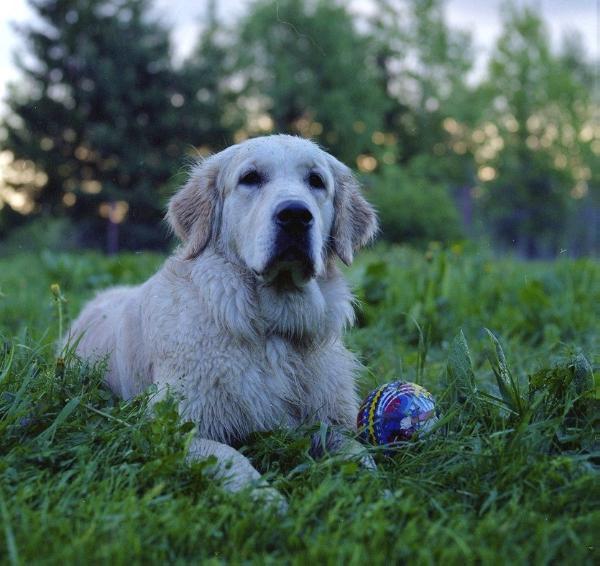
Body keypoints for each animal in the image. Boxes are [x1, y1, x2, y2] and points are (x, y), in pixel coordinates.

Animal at [68, 136, 378, 502]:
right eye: (250, 178)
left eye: (316, 181)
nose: (295, 215)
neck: (269, 329)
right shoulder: (176, 428)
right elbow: (232, 459)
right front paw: (267, 501)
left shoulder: (329, 421)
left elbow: (361, 455)